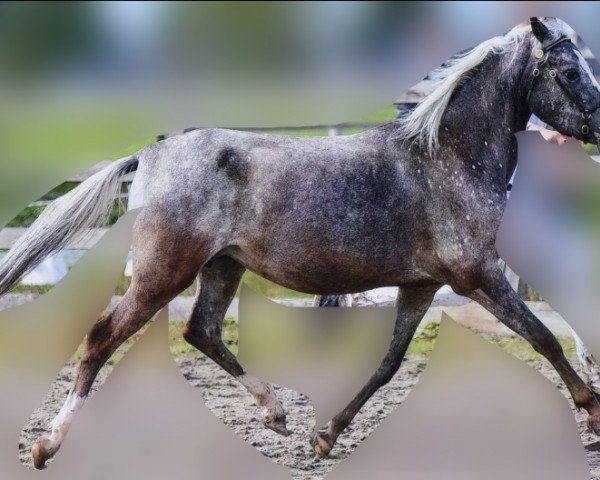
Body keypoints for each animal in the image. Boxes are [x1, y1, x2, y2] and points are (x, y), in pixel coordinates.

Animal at [1, 15, 600, 468]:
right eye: (570, 70)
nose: (598, 128)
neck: (445, 158)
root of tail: (148, 155)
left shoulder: (420, 287)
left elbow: (388, 365)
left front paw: (326, 435)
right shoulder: (478, 275)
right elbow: (543, 337)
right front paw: (590, 405)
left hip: (222, 266)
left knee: (201, 331)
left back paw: (275, 412)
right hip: (162, 272)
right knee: (103, 337)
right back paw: (46, 446)